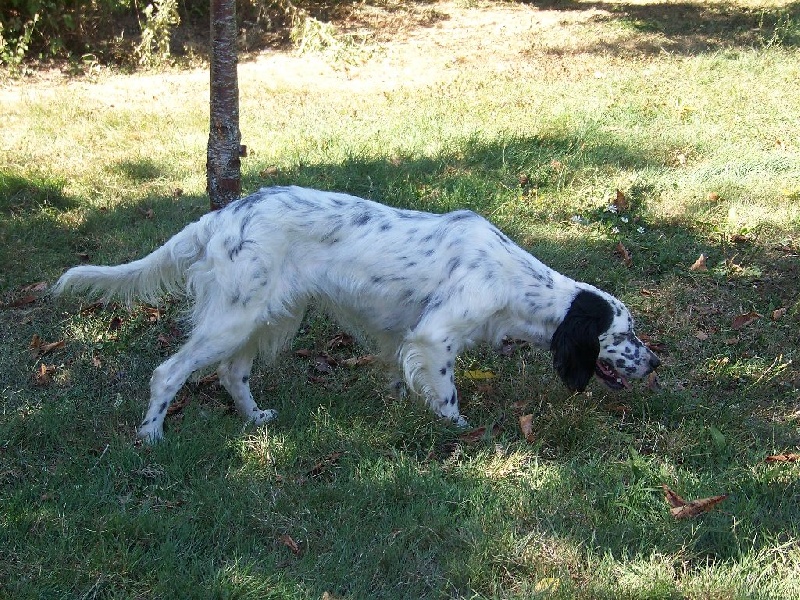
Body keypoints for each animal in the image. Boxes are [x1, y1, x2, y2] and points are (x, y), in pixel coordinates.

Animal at [53, 186, 660, 440]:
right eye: (624, 334)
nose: (655, 363)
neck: (510, 276)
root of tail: (222, 215)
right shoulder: (434, 337)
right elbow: (447, 396)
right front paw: (463, 433)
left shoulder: (400, 339)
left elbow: (398, 379)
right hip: (233, 318)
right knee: (169, 372)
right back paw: (152, 434)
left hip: (266, 317)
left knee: (232, 372)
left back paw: (256, 419)